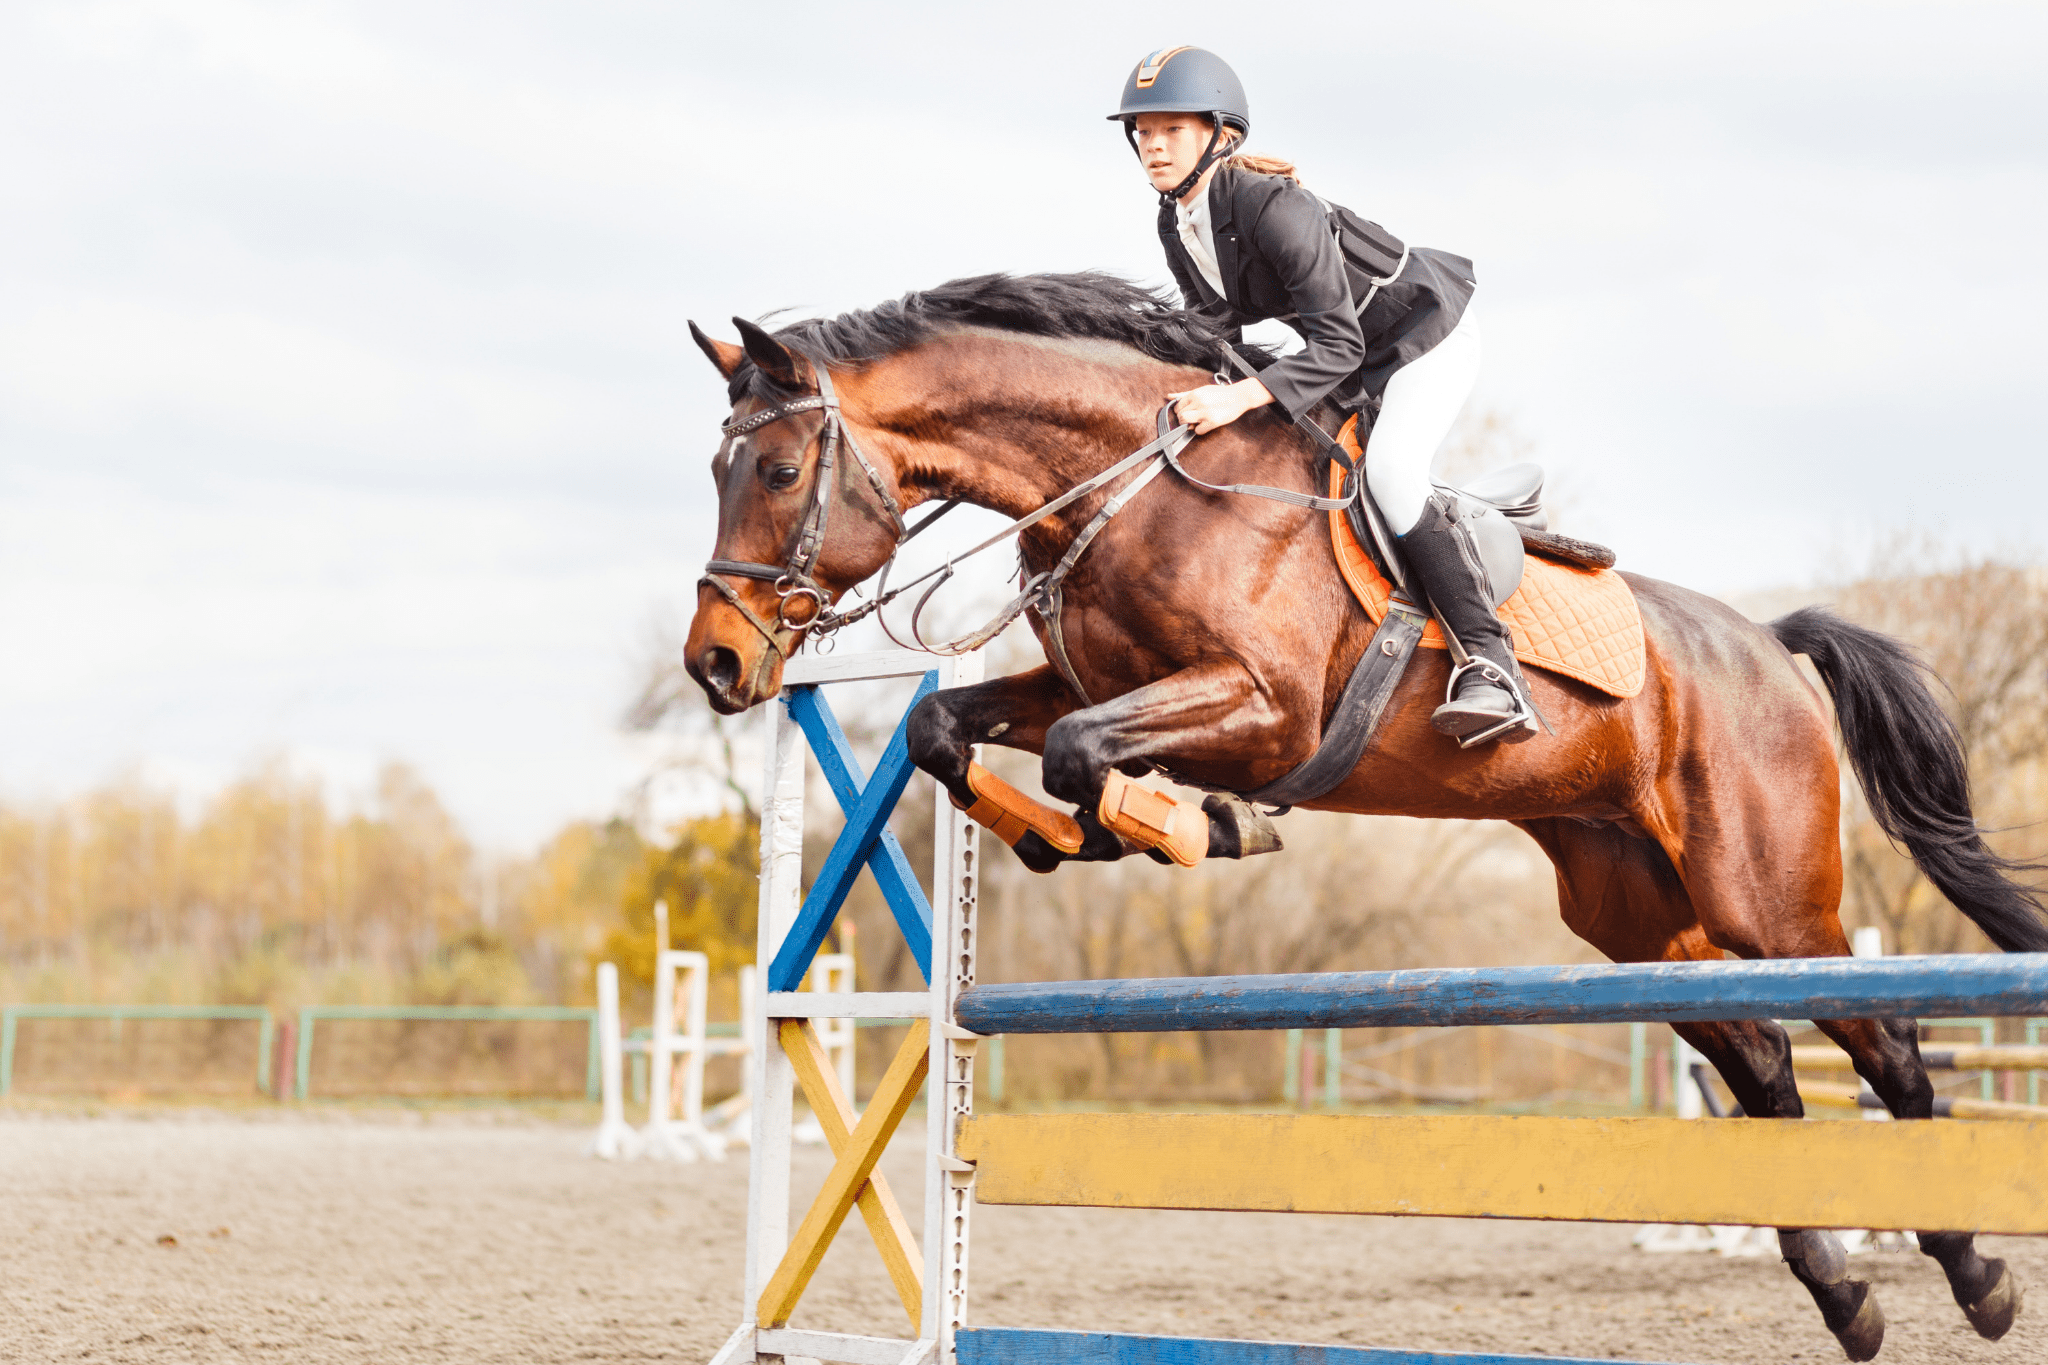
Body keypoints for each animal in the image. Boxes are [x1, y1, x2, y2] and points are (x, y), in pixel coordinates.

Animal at [684, 266, 2031, 1358]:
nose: (716, 665)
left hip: (1765, 897)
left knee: (1886, 1049)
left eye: (780, 469)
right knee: (1765, 1075)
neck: (1130, 490)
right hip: (1642, 919)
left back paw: (1975, 1278)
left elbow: (1078, 752)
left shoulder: (1263, 708)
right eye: (716, 468)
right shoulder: (1086, 682)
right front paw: (1084, 834)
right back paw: (1846, 1301)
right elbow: (948, 733)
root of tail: (1768, 643)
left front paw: (1193, 825)